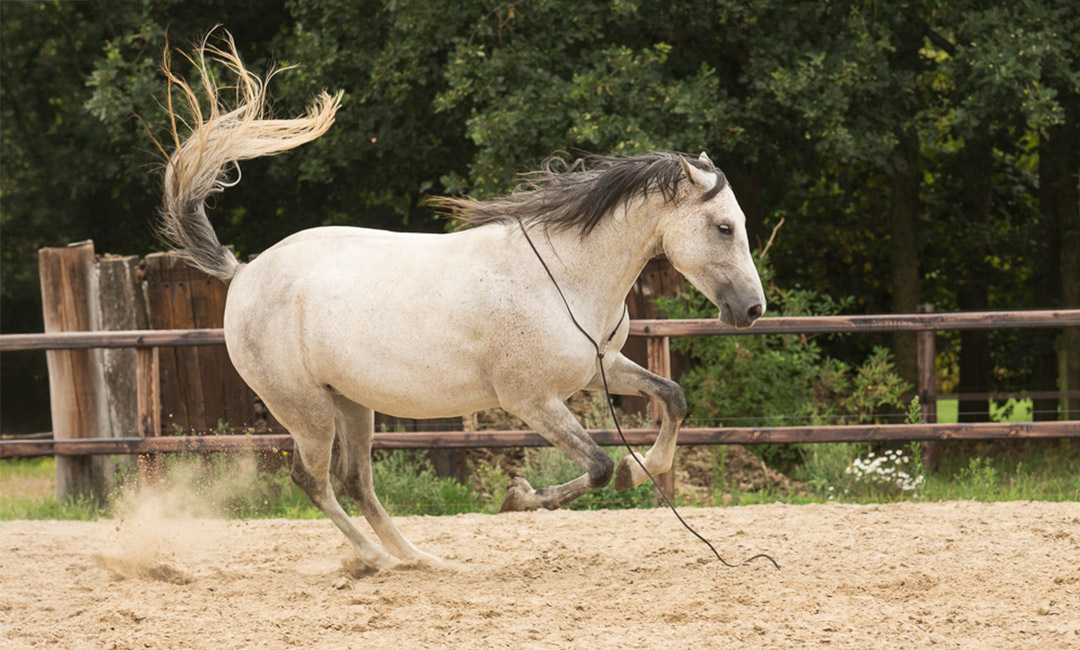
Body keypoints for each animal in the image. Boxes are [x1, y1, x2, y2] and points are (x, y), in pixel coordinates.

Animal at [156, 35, 764, 570]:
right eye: (724, 226)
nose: (753, 310)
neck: (564, 277)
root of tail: (243, 272)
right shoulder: (531, 401)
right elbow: (597, 466)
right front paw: (519, 496)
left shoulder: (598, 369)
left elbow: (672, 399)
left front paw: (641, 473)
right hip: (305, 410)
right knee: (313, 481)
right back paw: (376, 560)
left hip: (351, 403)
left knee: (356, 480)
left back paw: (418, 557)